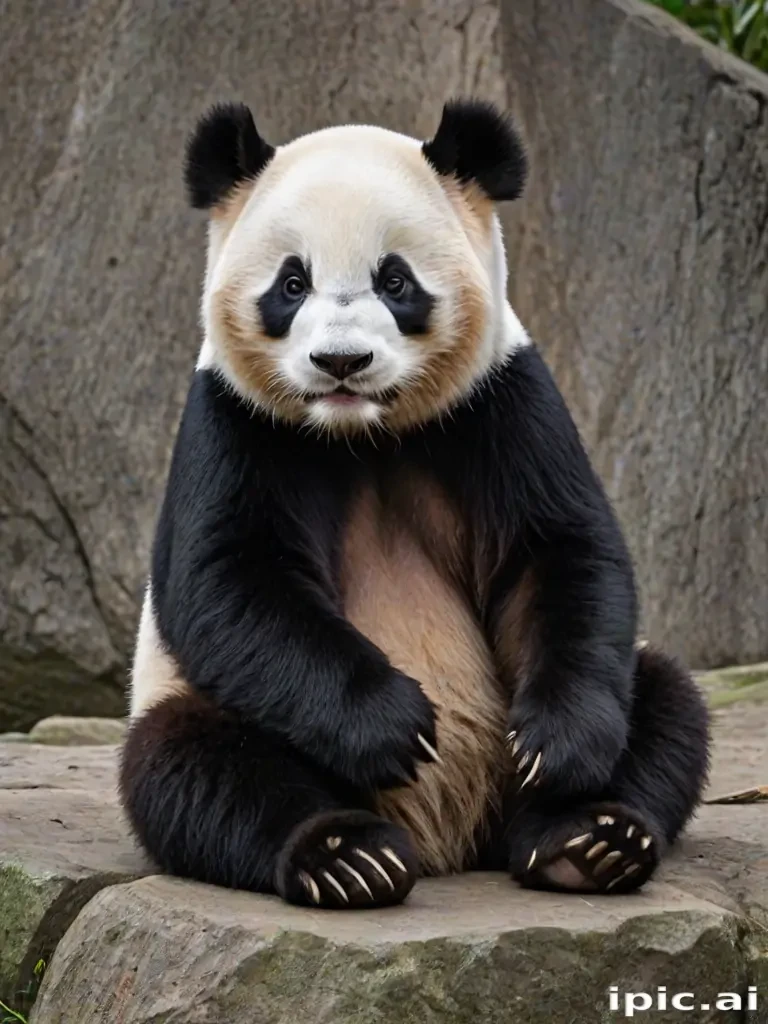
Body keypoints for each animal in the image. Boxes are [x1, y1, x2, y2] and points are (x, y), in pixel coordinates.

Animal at [120, 98, 710, 909]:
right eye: (291, 284)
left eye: (395, 281)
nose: (341, 361)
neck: (363, 433)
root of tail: (448, 841)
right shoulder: (235, 420)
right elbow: (229, 578)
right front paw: (394, 727)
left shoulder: (501, 401)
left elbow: (558, 553)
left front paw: (553, 746)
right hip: (195, 702)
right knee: (191, 763)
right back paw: (346, 856)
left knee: (664, 702)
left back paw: (588, 841)